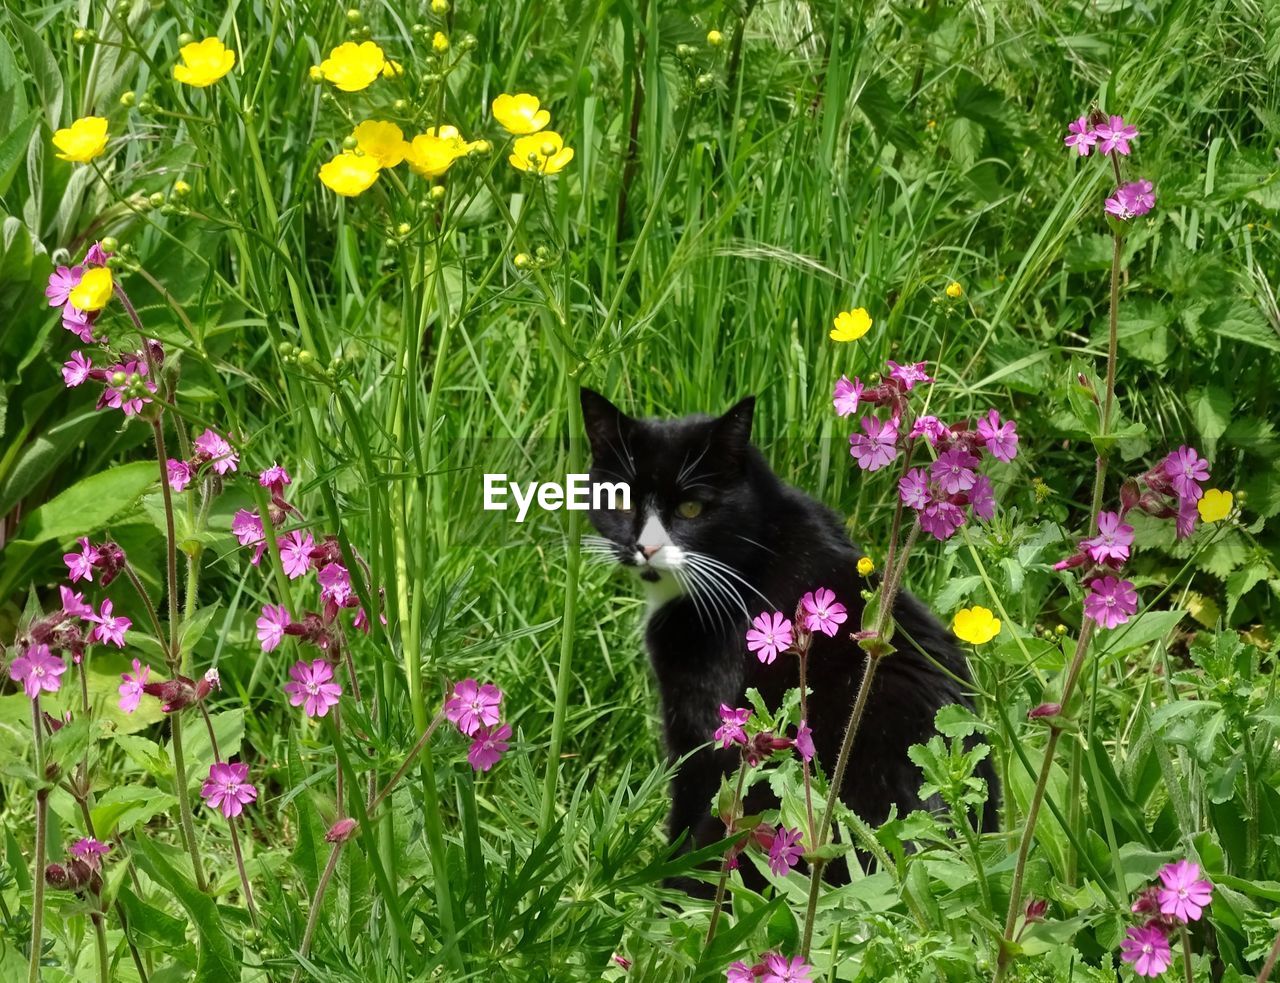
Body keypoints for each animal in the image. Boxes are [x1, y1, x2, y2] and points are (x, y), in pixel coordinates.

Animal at [583, 386, 998, 880]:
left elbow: (688, 797)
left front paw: (658, 879)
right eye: (620, 502)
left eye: (691, 508)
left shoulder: (700, 721)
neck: (751, 548)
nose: (644, 547)